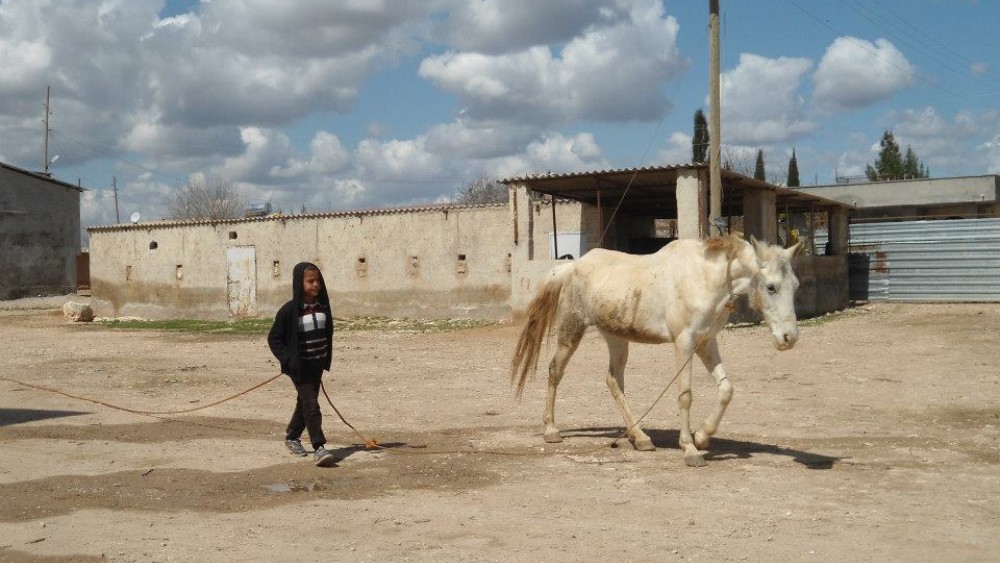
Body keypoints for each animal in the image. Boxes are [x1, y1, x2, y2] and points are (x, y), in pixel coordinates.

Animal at [512, 235, 800, 468]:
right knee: (555, 371)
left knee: (614, 380)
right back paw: (551, 430)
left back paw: (639, 437)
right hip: (571, 330)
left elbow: (726, 389)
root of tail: (571, 266)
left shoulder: (706, 342)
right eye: (771, 287)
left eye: (795, 285)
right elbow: (685, 396)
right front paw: (690, 449)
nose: (789, 338)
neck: (703, 278)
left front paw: (702, 436)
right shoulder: (684, 343)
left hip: (617, 339)